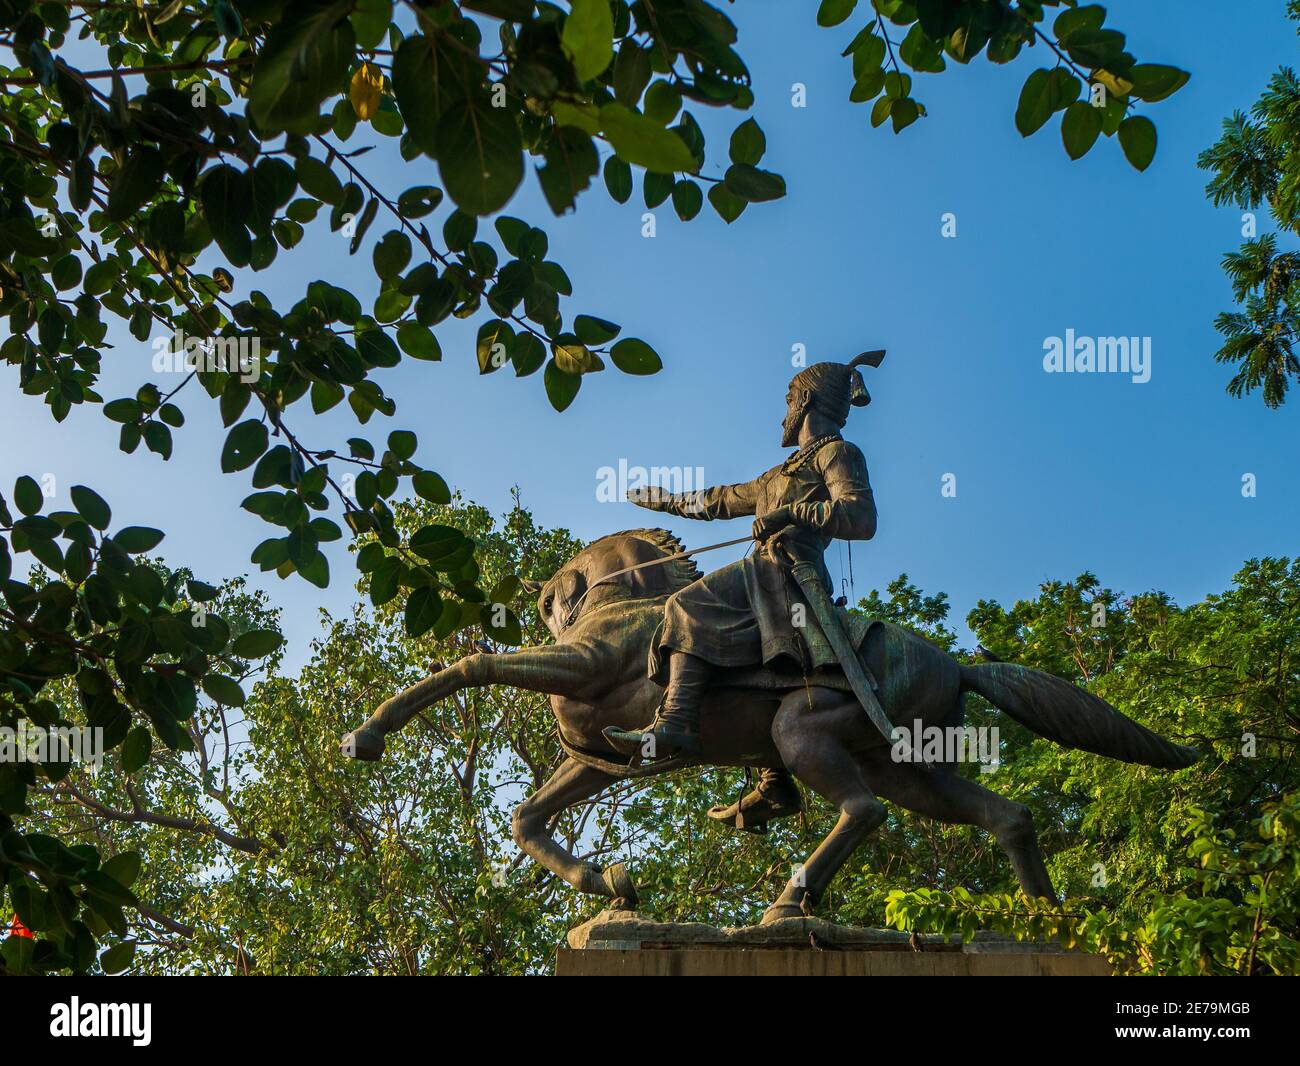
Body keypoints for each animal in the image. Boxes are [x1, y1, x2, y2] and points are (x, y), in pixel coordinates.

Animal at [340, 527, 1190, 920]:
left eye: (556, 598)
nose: (549, 605)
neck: (627, 603)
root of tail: (959, 664)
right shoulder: (598, 753)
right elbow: (527, 817)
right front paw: (610, 883)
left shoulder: (581, 665)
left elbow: (469, 667)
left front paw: (369, 734)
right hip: (904, 765)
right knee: (1004, 817)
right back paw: (1044, 922)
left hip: (805, 733)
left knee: (861, 810)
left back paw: (787, 902)